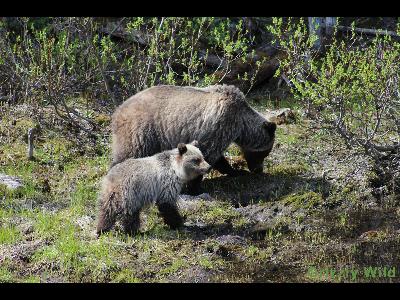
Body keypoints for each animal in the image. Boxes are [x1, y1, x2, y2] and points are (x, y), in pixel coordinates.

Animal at [111, 83, 276, 193]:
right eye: (264, 153)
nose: (258, 170)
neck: (241, 123)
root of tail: (118, 110)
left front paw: (237, 171)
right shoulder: (219, 125)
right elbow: (208, 153)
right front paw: (195, 187)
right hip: (142, 131)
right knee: (128, 155)